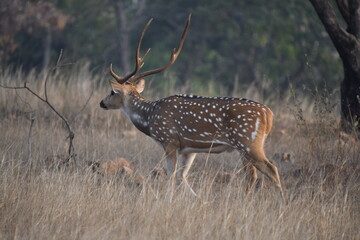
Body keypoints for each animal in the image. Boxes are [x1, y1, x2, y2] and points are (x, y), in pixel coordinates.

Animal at [99, 14, 284, 200]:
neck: (149, 117)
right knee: (252, 175)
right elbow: (182, 176)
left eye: (112, 92)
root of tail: (269, 114)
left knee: (271, 169)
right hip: (245, 147)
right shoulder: (188, 149)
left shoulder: (169, 140)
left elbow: (171, 174)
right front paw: (198, 199)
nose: (102, 103)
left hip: (249, 142)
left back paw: (281, 201)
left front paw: (167, 199)